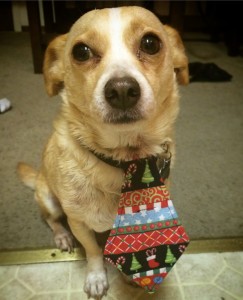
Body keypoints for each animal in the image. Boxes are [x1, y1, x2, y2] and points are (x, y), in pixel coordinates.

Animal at [17, 5, 188, 298]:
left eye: (150, 43)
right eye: (81, 52)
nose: (122, 90)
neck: (126, 158)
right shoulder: (79, 223)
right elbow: (94, 251)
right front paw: (97, 277)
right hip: (49, 199)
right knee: (52, 220)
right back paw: (62, 236)